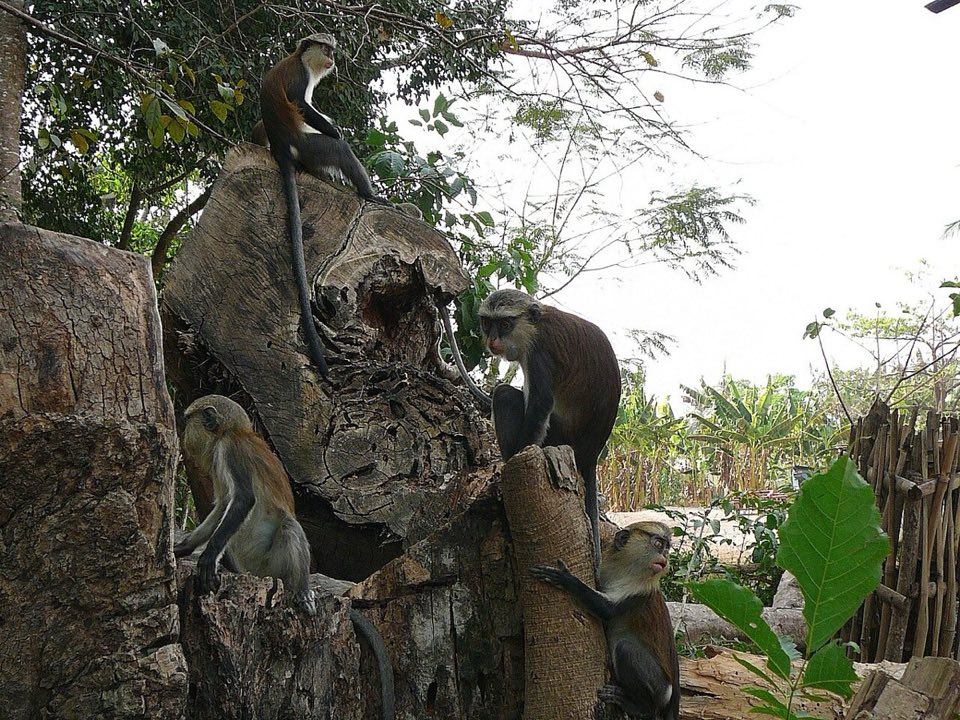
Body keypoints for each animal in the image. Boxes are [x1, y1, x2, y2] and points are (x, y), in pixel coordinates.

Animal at [174, 395, 395, 720]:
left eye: (189, 419)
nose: (185, 434)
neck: (234, 432)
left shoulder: (231, 451)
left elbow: (242, 500)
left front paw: (207, 559)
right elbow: (222, 506)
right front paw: (184, 548)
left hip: (272, 562)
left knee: (289, 527)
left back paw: (301, 590)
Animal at [256, 33, 390, 377]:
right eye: (326, 48)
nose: (332, 58)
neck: (299, 58)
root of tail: (283, 150)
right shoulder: (299, 76)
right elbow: (302, 103)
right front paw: (336, 128)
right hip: (310, 148)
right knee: (339, 150)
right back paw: (369, 194)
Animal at [478, 288, 620, 558]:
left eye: (505, 324)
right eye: (488, 323)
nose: (492, 340)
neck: (537, 323)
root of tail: (591, 454)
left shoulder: (539, 352)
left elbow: (540, 403)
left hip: (558, 434)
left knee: (504, 395)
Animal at [530, 521, 680, 720]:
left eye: (666, 548)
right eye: (658, 544)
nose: (664, 557)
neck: (626, 569)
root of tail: (673, 695)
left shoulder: (640, 589)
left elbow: (607, 610)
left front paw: (566, 579)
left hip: (659, 688)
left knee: (625, 649)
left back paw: (639, 707)